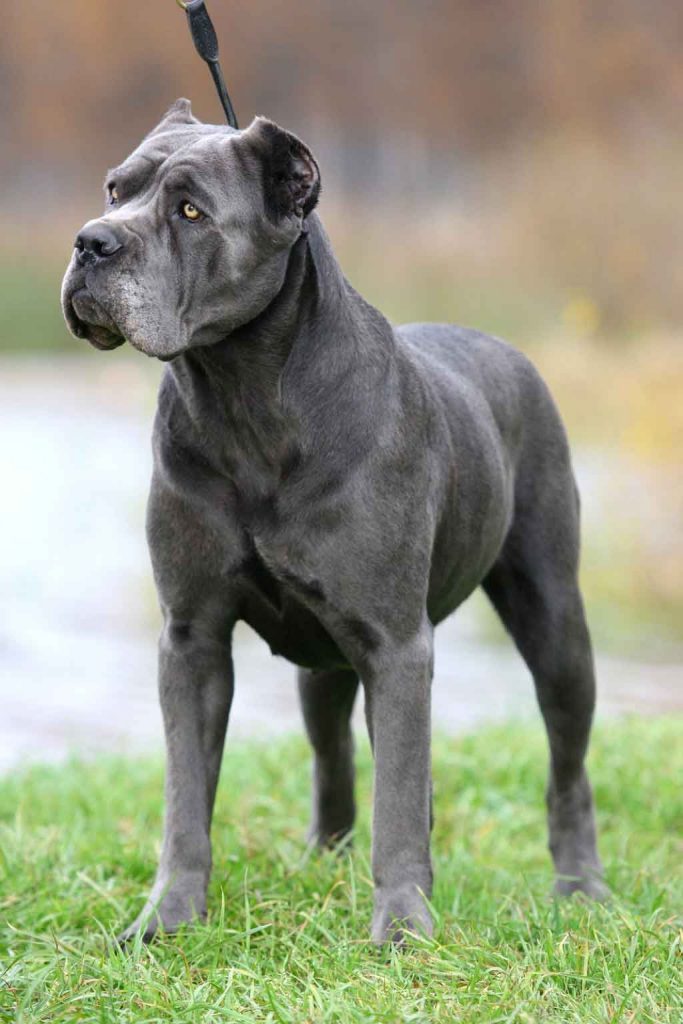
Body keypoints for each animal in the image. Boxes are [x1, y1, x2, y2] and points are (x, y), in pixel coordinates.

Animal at [60, 97, 602, 942]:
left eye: (190, 211)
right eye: (115, 190)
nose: (92, 240)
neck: (244, 398)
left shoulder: (396, 643)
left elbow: (401, 794)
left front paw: (404, 929)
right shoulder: (191, 638)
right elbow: (187, 797)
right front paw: (167, 919)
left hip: (553, 621)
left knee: (564, 765)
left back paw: (581, 891)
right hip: (323, 662)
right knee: (335, 756)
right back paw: (324, 860)